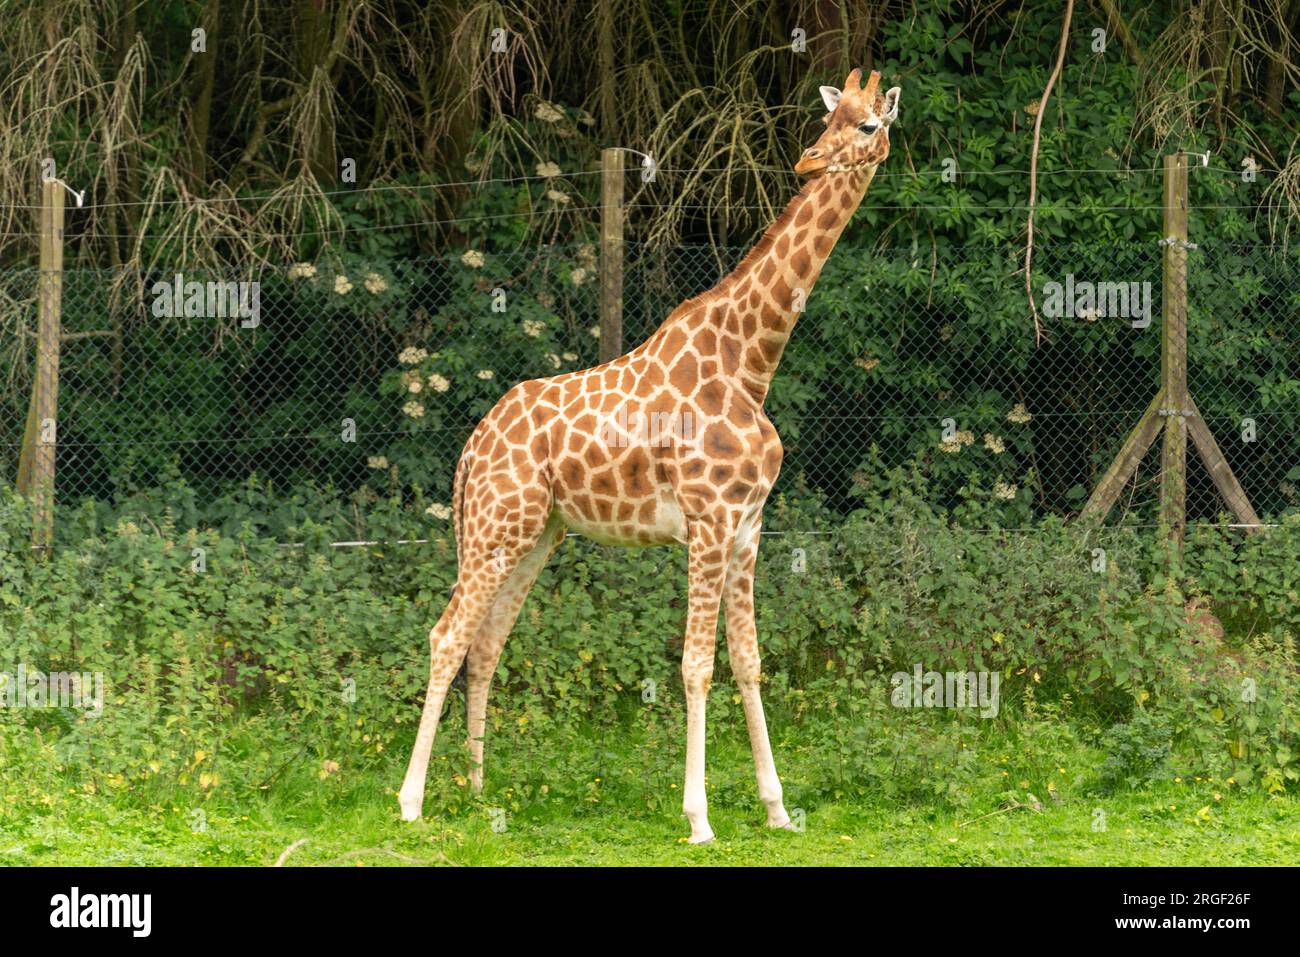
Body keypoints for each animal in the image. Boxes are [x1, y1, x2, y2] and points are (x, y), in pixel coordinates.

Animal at [399, 68, 900, 843]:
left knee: (486, 643)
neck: (752, 363)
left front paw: (777, 808)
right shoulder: (708, 520)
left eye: (868, 123)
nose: (810, 161)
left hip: (533, 534)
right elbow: (696, 664)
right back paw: (412, 801)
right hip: (494, 528)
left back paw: (480, 791)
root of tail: (471, 448)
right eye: (829, 119)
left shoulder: (749, 526)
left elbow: (749, 660)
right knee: (447, 635)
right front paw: (698, 817)